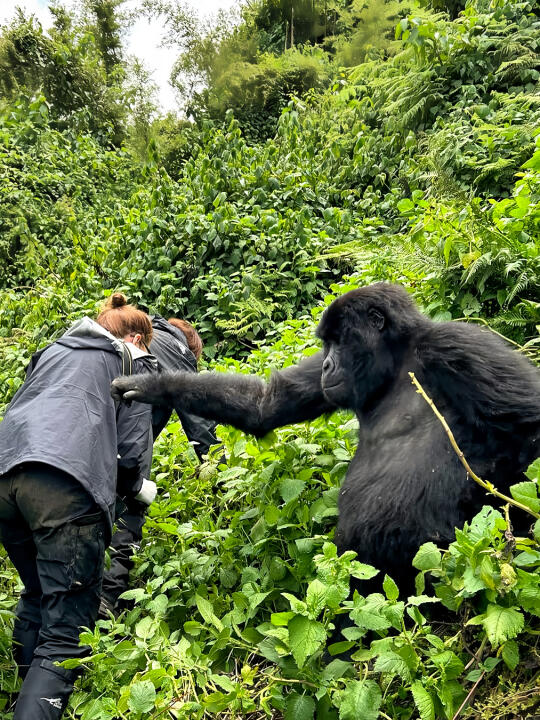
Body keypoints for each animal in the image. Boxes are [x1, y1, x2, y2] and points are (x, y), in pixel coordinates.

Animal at [110, 282, 540, 592]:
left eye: (339, 339)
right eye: (326, 344)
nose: (328, 364)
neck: (396, 360)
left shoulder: (456, 347)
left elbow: (528, 425)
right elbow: (266, 404)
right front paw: (150, 385)